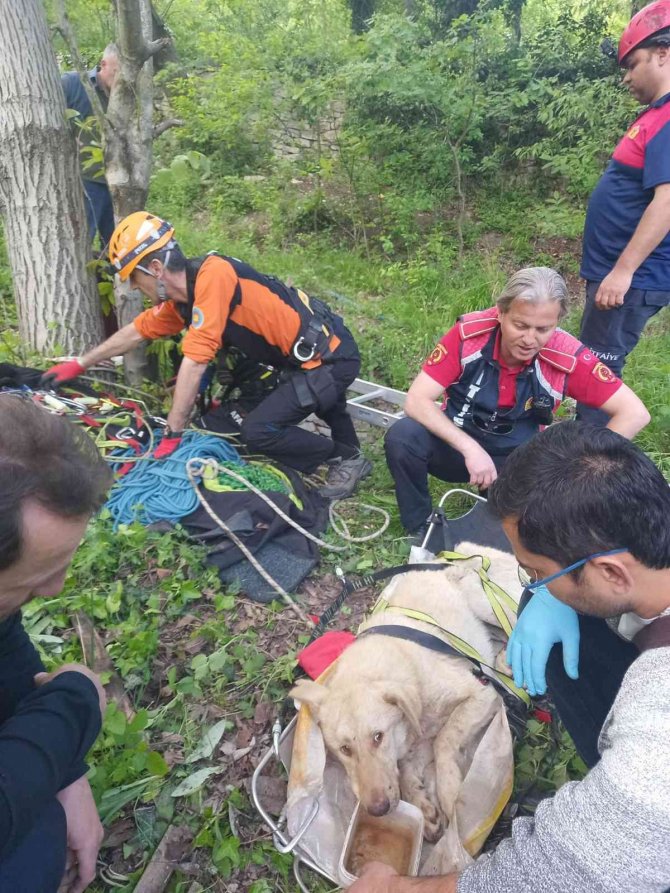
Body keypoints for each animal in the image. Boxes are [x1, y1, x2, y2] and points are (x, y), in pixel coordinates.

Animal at [292, 540, 524, 840]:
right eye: (344, 749)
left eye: (378, 737)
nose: (377, 809)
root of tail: (459, 554)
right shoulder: (416, 740)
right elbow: (405, 769)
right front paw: (423, 807)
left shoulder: (481, 694)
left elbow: (444, 742)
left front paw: (450, 793)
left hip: (485, 600)